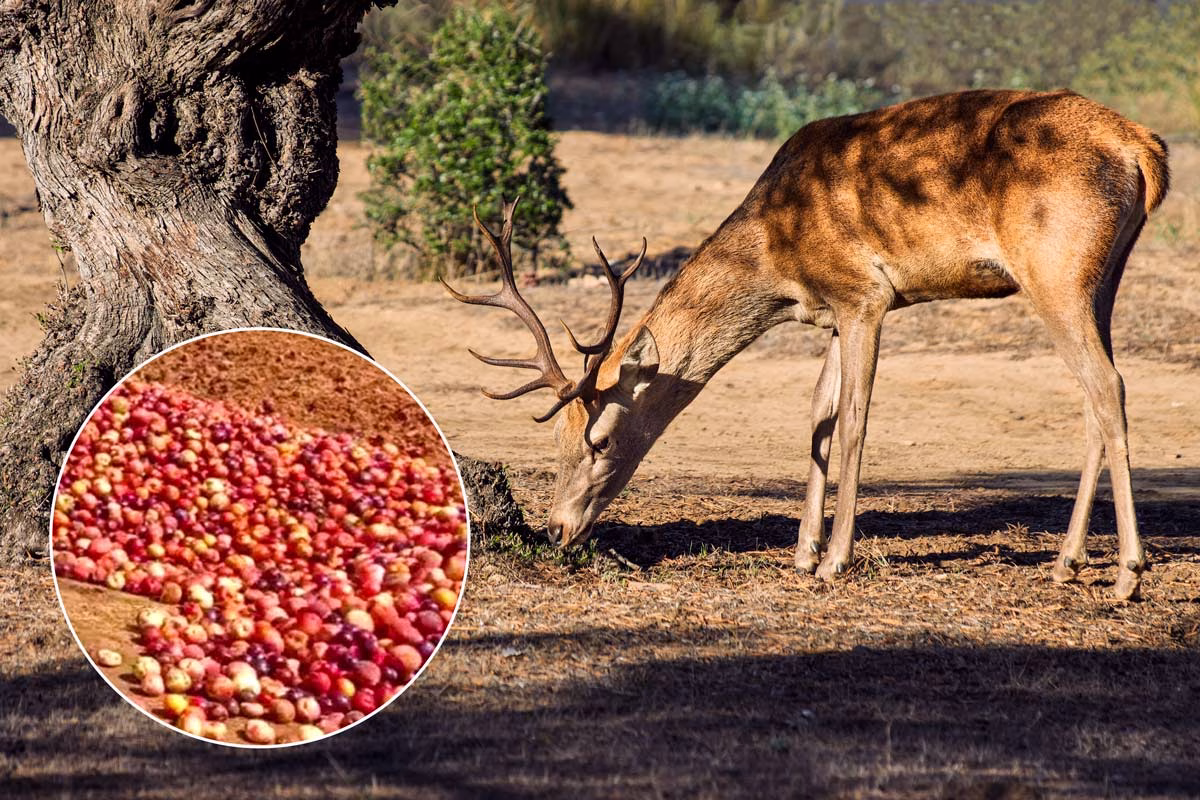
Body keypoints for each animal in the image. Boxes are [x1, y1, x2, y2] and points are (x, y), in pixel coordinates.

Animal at [444, 89, 1170, 600]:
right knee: (1096, 394)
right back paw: (1068, 562)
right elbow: (817, 418)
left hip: (1056, 269)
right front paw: (802, 551)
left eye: (599, 439)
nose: (556, 528)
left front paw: (834, 559)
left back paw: (1127, 572)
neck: (777, 249)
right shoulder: (830, 312)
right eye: (557, 438)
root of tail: (1144, 147)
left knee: (1108, 386)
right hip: (1101, 276)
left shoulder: (865, 295)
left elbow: (852, 424)